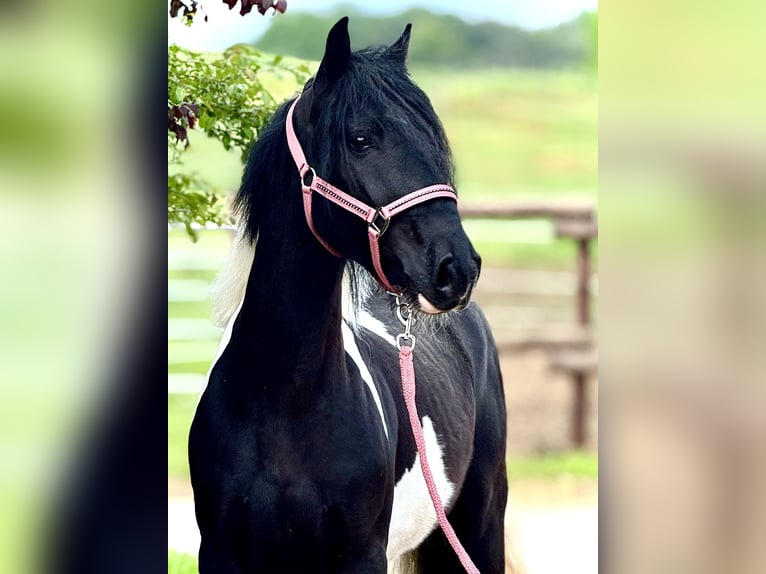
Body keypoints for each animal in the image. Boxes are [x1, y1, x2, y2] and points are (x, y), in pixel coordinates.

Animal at [188, 17, 508, 573]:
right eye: (360, 139)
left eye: (433, 139)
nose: (457, 269)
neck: (284, 400)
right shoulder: (220, 554)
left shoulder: (361, 555)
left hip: (480, 527)